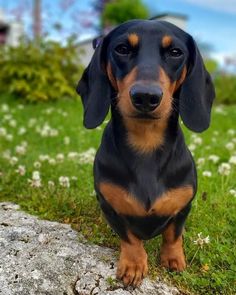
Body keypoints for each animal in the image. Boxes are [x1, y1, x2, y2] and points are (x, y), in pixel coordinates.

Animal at [76, 19, 215, 288]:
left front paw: (173, 259)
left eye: (175, 52)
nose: (146, 96)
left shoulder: (184, 206)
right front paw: (134, 264)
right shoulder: (109, 206)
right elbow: (130, 238)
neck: (146, 144)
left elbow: (173, 234)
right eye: (122, 49)